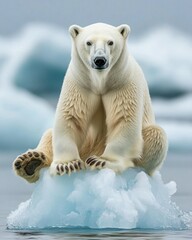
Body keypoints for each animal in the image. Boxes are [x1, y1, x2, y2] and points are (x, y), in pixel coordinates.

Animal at [13, 23, 168, 183]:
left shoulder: (123, 83)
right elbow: (70, 117)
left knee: (156, 135)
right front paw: (67, 165)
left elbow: (124, 119)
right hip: (87, 144)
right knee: (49, 134)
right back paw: (30, 161)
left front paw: (101, 161)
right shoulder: (80, 83)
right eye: (88, 42)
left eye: (110, 42)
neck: (100, 82)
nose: (99, 60)